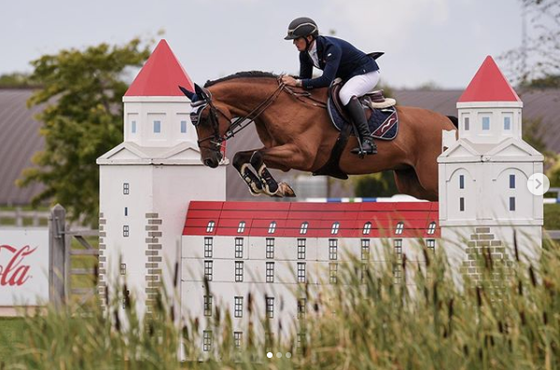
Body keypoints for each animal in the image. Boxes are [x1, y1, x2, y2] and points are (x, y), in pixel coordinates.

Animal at [182, 71, 458, 201]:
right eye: (191, 121)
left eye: (204, 118)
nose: (209, 160)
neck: (278, 105)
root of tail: (448, 122)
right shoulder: (283, 153)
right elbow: (244, 156)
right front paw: (258, 185)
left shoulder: (301, 155)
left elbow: (257, 156)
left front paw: (275, 187)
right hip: (412, 182)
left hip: (430, 177)